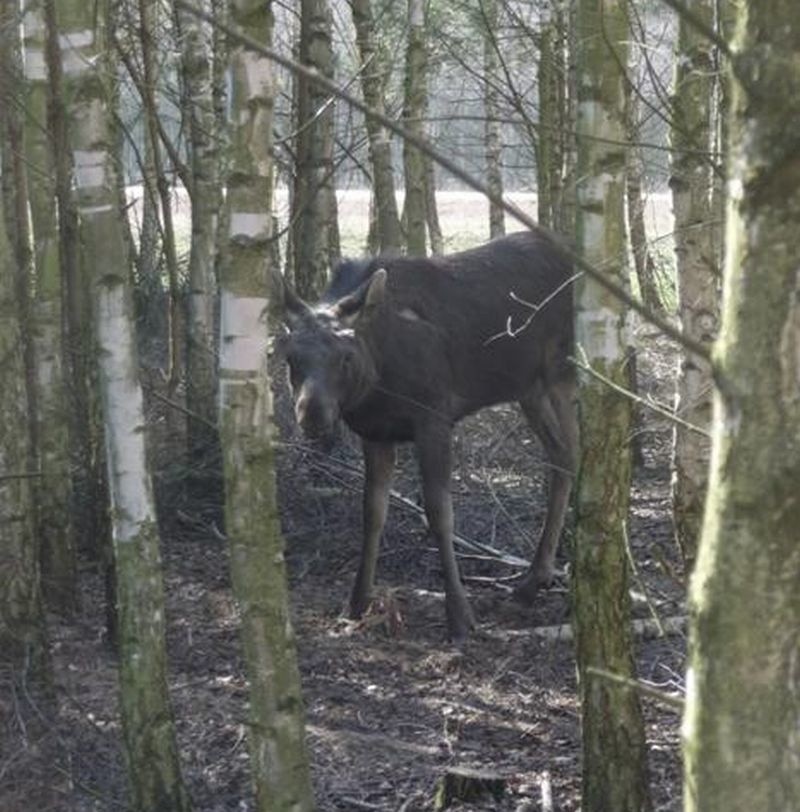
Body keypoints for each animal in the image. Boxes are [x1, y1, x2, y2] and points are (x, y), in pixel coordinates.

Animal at [284, 228, 580, 640]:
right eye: (290, 357)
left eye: (345, 356)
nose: (312, 413)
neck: (379, 380)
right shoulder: (375, 433)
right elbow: (372, 512)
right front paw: (356, 602)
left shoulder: (434, 419)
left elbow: (440, 514)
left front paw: (460, 615)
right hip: (527, 388)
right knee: (559, 455)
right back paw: (535, 579)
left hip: (560, 371)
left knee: (576, 452)